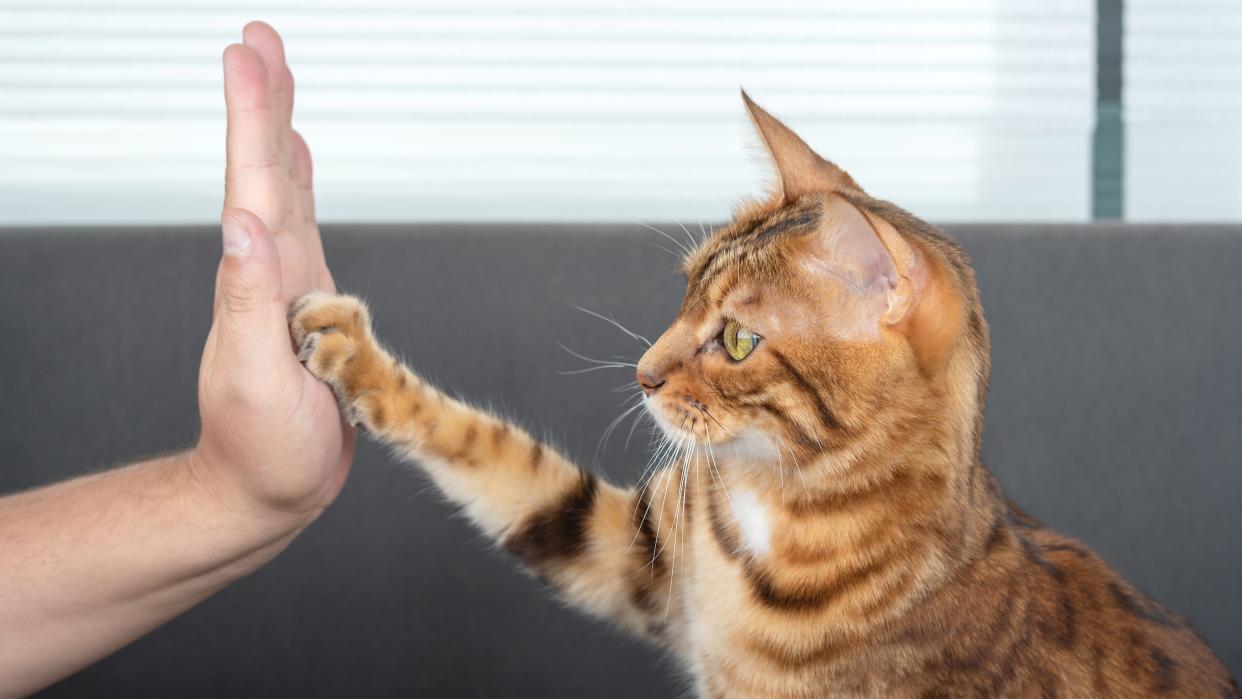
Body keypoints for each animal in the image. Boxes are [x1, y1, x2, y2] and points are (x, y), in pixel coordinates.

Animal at [288, 94, 1232, 699]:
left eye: (738, 339)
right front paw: (352, 351)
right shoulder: (638, 554)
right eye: (684, 291)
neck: (779, 500)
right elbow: (504, 463)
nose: (642, 372)